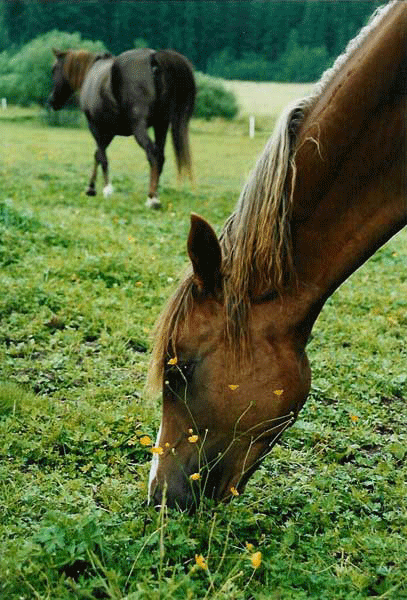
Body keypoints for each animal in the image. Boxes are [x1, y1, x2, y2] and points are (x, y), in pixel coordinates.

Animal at [49, 47, 196, 207]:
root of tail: (153, 58)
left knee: (152, 154)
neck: (91, 70)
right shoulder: (109, 132)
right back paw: (155, 195)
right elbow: (97, 155)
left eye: (54, 69)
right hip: (161, 125)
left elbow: (102, 157)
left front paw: (107, 189)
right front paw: (91, 188)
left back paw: (151, 198)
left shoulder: (95, 127)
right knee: (160, 157)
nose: (52, 101)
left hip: (140, 127)